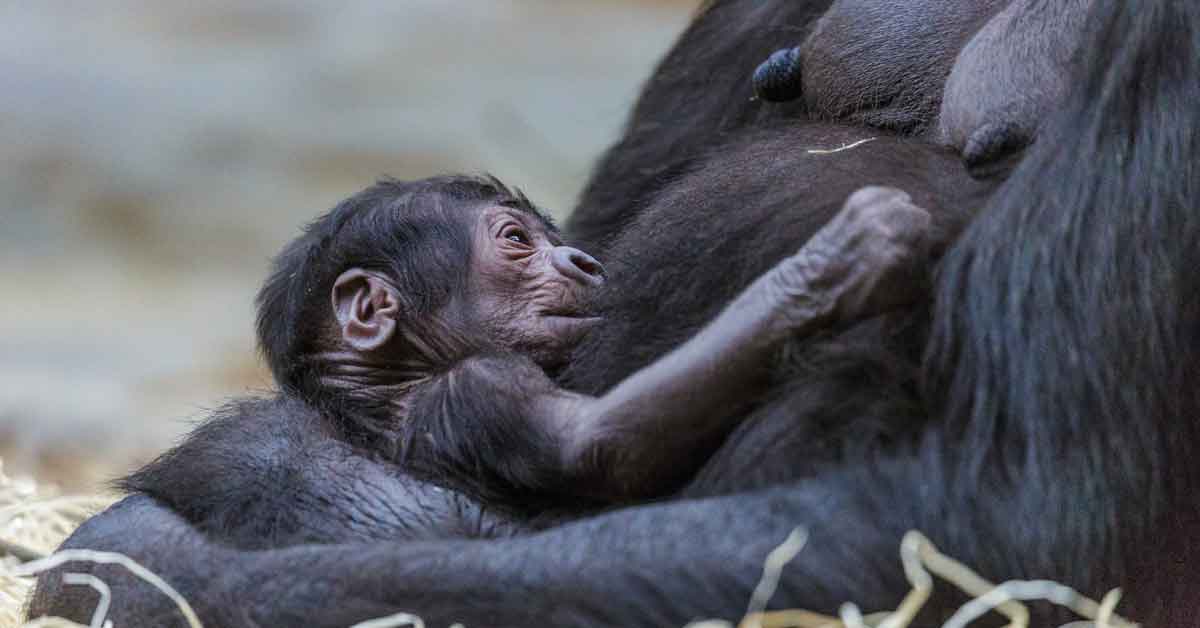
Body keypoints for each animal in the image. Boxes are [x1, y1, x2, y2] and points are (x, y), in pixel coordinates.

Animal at [126, 172, 926, 545]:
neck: (390, 387)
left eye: (553, 237)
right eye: (516, 240)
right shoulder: (485, 386)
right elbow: (601, 443)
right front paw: (834, 263)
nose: (584, 260)